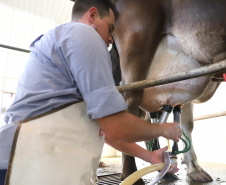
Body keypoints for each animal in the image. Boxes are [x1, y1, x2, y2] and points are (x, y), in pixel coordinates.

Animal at [110, 0, 226, 184]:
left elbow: (186, 123)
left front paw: (193, 169)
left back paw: (168, 170)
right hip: (136, 47)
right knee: (130, 103)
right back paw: (130, 173)